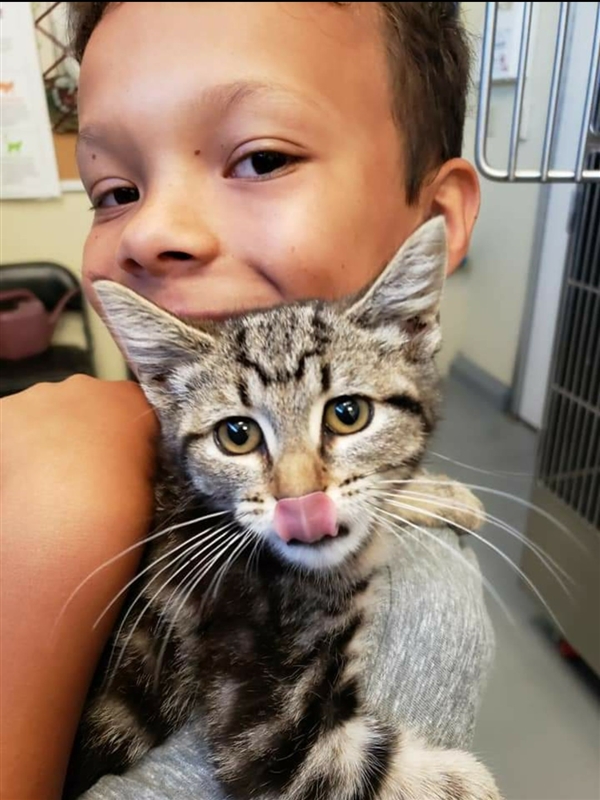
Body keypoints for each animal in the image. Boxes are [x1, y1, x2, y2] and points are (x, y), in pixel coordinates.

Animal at [63, 219, 500, 800]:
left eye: (348, 413)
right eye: (237, 434)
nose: (301, 500)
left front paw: (438, 495)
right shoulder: (270, 724)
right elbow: (356, 770)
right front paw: (468, 781)